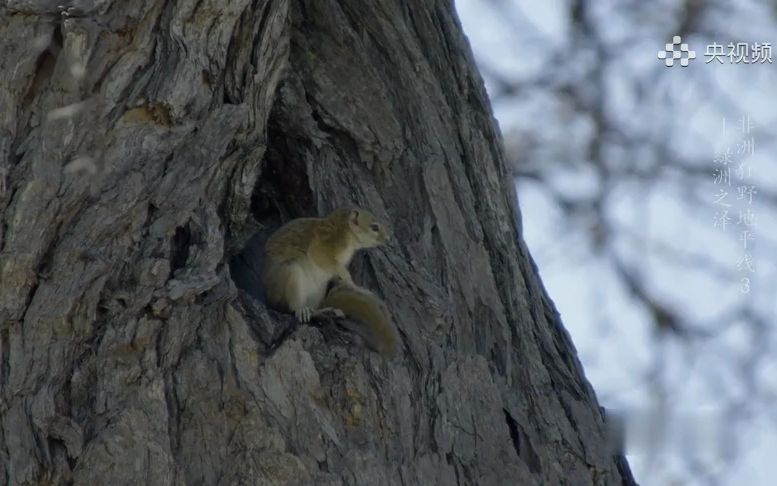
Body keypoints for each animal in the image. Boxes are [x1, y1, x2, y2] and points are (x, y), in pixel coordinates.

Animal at [264, 208, 392, 322]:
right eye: (374, 227)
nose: (388, 238)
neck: (344, 229)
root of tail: (269, 299)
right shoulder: (325, 243)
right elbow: (324, 259)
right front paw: (352, 282)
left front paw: (349, 285)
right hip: (291, 274)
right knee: (291, 307)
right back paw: (302, 310)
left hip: (317, 292)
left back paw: (324, 311)